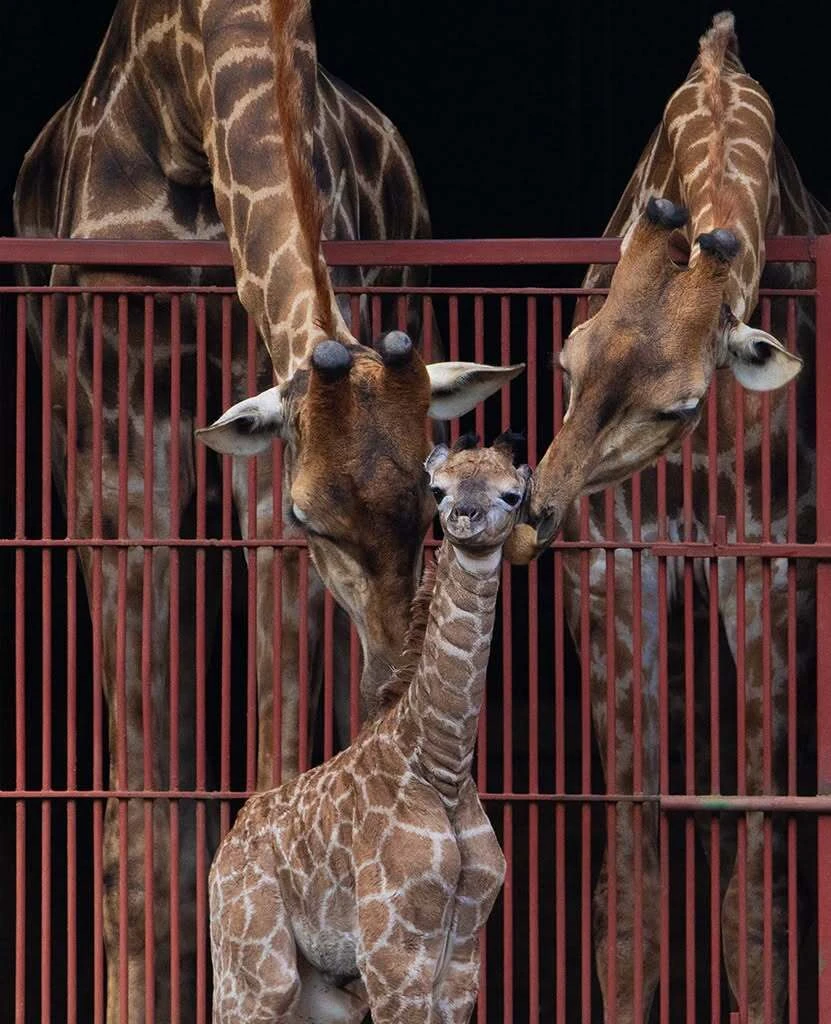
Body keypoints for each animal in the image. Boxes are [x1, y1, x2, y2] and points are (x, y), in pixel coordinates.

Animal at [209, 434, 527, 1023]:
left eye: (512, 495)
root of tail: (228, 843)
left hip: (319, 991)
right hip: (255, 968)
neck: (442, 764)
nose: (464, 518)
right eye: (437, 489)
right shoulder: (392, 952)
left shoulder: (462, 958)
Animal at [506, 12, 826, 1022]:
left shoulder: (771, 570)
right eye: (565, 362)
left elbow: (756, 905)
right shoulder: (617, 573)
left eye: (681, 404)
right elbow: (627, 900)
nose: (535, 515)